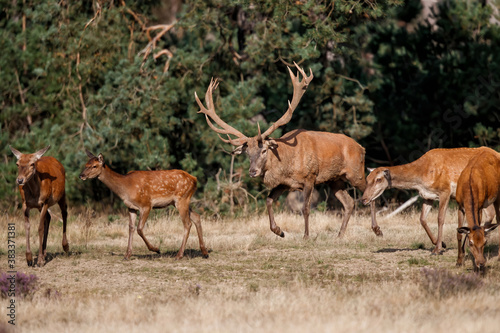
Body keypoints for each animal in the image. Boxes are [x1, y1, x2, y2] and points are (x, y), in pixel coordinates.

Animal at [79, 150, 208, 260]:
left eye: (94, 166)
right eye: (86, 164)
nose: (81, 175)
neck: (126, 187)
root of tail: (195, 180)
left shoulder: (146, 204)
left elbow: (139, 229)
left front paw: (156, 249)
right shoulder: (131, 207)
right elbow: (131, 228)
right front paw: (127, 255)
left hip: (182, 199)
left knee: (187, 223)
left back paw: (179, 255)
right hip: (180, 201)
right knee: (197, 217)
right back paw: (204, 252)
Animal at [193, 63, 380, 239]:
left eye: (264, 150)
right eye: (247, 153)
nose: (253, 171)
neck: (287, 162)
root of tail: (361, 147)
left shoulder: (310, 177)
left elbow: (305, 208)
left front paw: (306, 236)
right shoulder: (284, 183)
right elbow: (269, 200)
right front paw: (279, 231)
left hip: (355, 172)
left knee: (368, 193)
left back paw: (377, 229)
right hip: (335, 180)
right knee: (349, 203)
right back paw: (340, 235)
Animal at [360, 147, 496, 253]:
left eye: (378, 179)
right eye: (367, 178)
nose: (364, 199)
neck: (422, 176)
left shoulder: (445, 191)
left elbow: (440, 218)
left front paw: (437, 249)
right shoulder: (428, 196)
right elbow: (422, 219)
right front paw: (441, 243)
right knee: (490, 214)